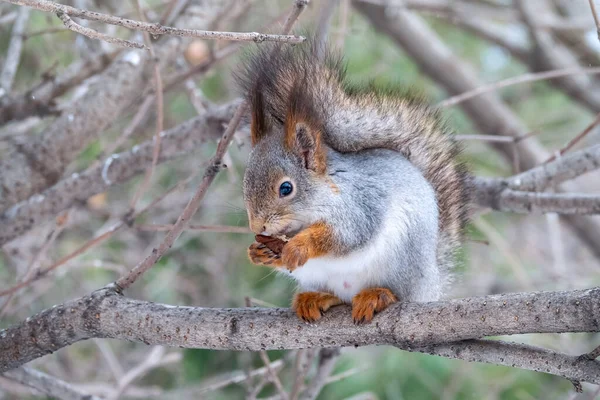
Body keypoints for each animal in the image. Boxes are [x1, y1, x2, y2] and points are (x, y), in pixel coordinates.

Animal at [237, 39, 472, 324]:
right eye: (245, 183)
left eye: (286, 188)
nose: (256, 225)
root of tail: (431, 286)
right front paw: (259, 252)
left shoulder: (361, 204)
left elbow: (345, 235)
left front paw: (299, 247)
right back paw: (315, 298)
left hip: (402, 263)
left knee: (397, 293)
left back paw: (378, 295)